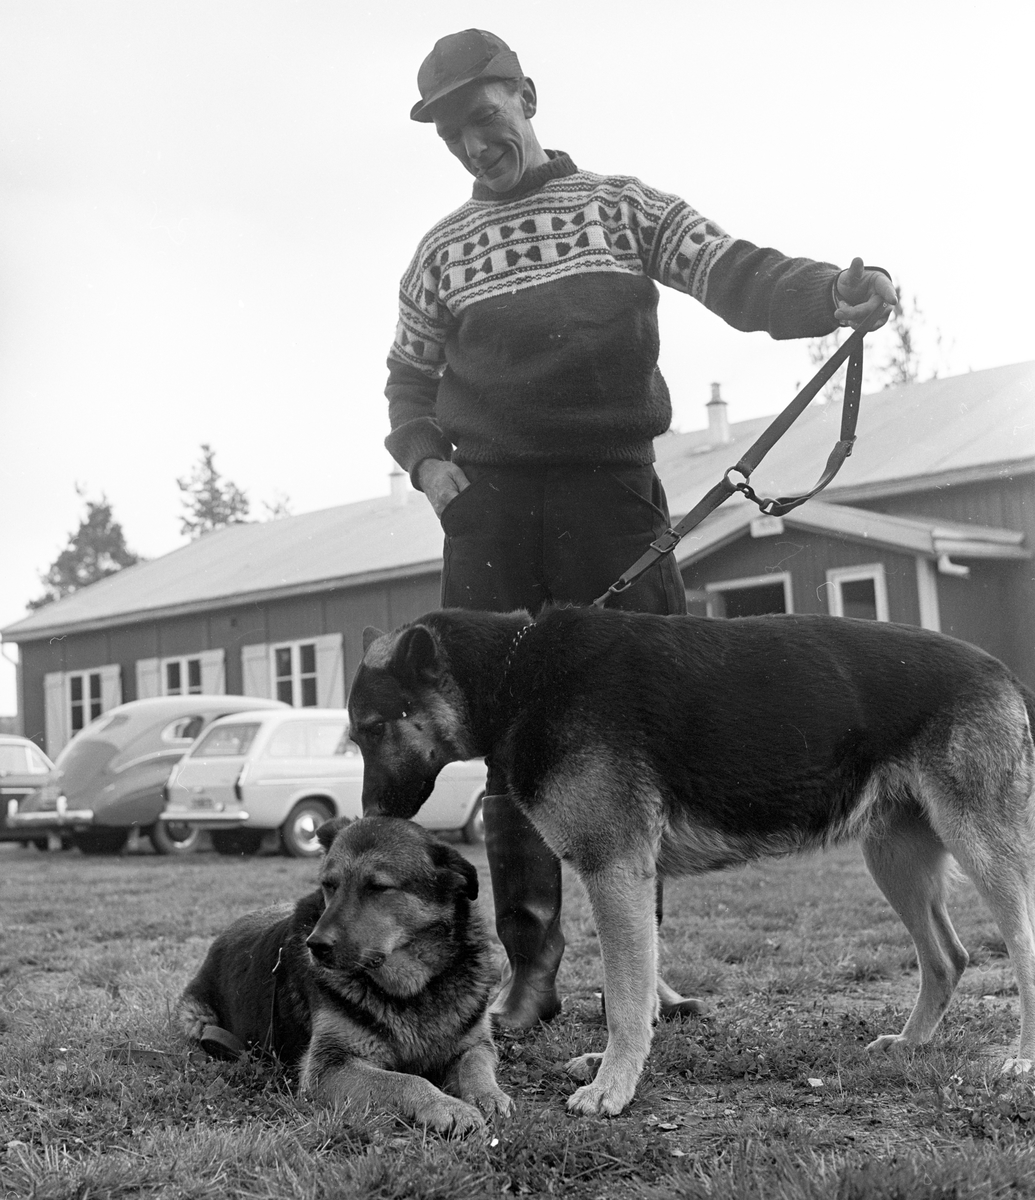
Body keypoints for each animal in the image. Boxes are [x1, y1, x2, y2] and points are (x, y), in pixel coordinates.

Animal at [182, 811, 518, 1128]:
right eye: (329, 885)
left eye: (378, 887)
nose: (316, 945)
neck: (409, 990)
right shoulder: (328, 1067)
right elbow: (407, 1080)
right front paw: (446, 1106)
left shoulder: (475, 1044)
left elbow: (474, 1066)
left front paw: (490, 1096)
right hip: (198, 1018)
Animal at [345, 609, 1035, 1113]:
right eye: (356, 735)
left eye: (376, 727)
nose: (366, 815)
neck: (516, 676)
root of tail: (1000, 668)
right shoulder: (624, 879)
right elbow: (636, 989)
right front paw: (617, 1067)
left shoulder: (615, 871)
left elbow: (626, 997)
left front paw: (613, 1087)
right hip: (893, 858)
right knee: (948, 957)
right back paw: (910, 1044)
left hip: (981, 849)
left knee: (1019, 947)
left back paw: (1023, 1058)